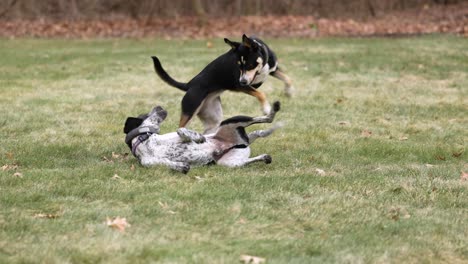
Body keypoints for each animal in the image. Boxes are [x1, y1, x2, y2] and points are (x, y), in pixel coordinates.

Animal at [122, 101, 282, 173]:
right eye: (145, 114)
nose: (158, 106)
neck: (145, 142)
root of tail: (241, 143)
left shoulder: (175, 134)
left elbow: (181, 130)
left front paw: (198, 137)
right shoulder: (149, 162)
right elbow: (170, 164)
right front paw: (180, 166)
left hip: (231, 122)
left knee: (264, 119)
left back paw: (274, 109)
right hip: (229, 163)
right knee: (251, 155)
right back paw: (265, 157)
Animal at [153, 34, 292, 134]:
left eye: (248, 65)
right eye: (238, 65)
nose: (242, 81)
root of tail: (189, 85)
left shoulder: (272, 70)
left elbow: (288, 79)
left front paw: (289, 92)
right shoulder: (241, 85)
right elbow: (261, 93)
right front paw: (266, 108)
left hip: (213, 117)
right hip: (190, 109)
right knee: (180, 128)